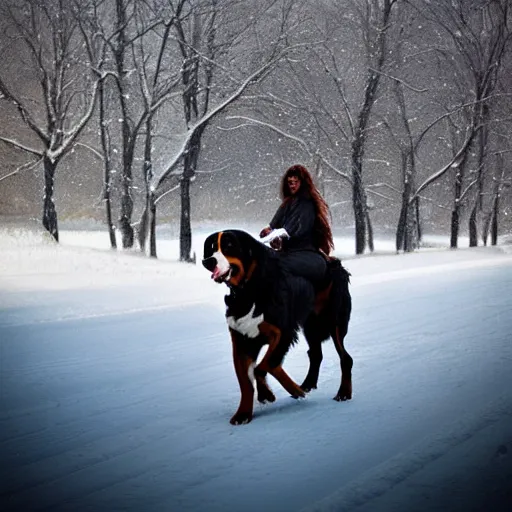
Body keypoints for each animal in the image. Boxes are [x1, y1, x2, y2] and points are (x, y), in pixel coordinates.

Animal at [202, 230, 354, 426]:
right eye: (212, 247)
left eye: (229, 246)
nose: (208, 261)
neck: (249, 290)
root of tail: (329, 259)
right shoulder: (242, 339)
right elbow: (246, 381)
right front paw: (243, 414)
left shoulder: (283, 332)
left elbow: (263, 366)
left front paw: (273, 393)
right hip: (310, 325)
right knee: (315, 354)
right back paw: (308, 384)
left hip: (333, 320)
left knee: (345, 358)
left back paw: (343, 393)